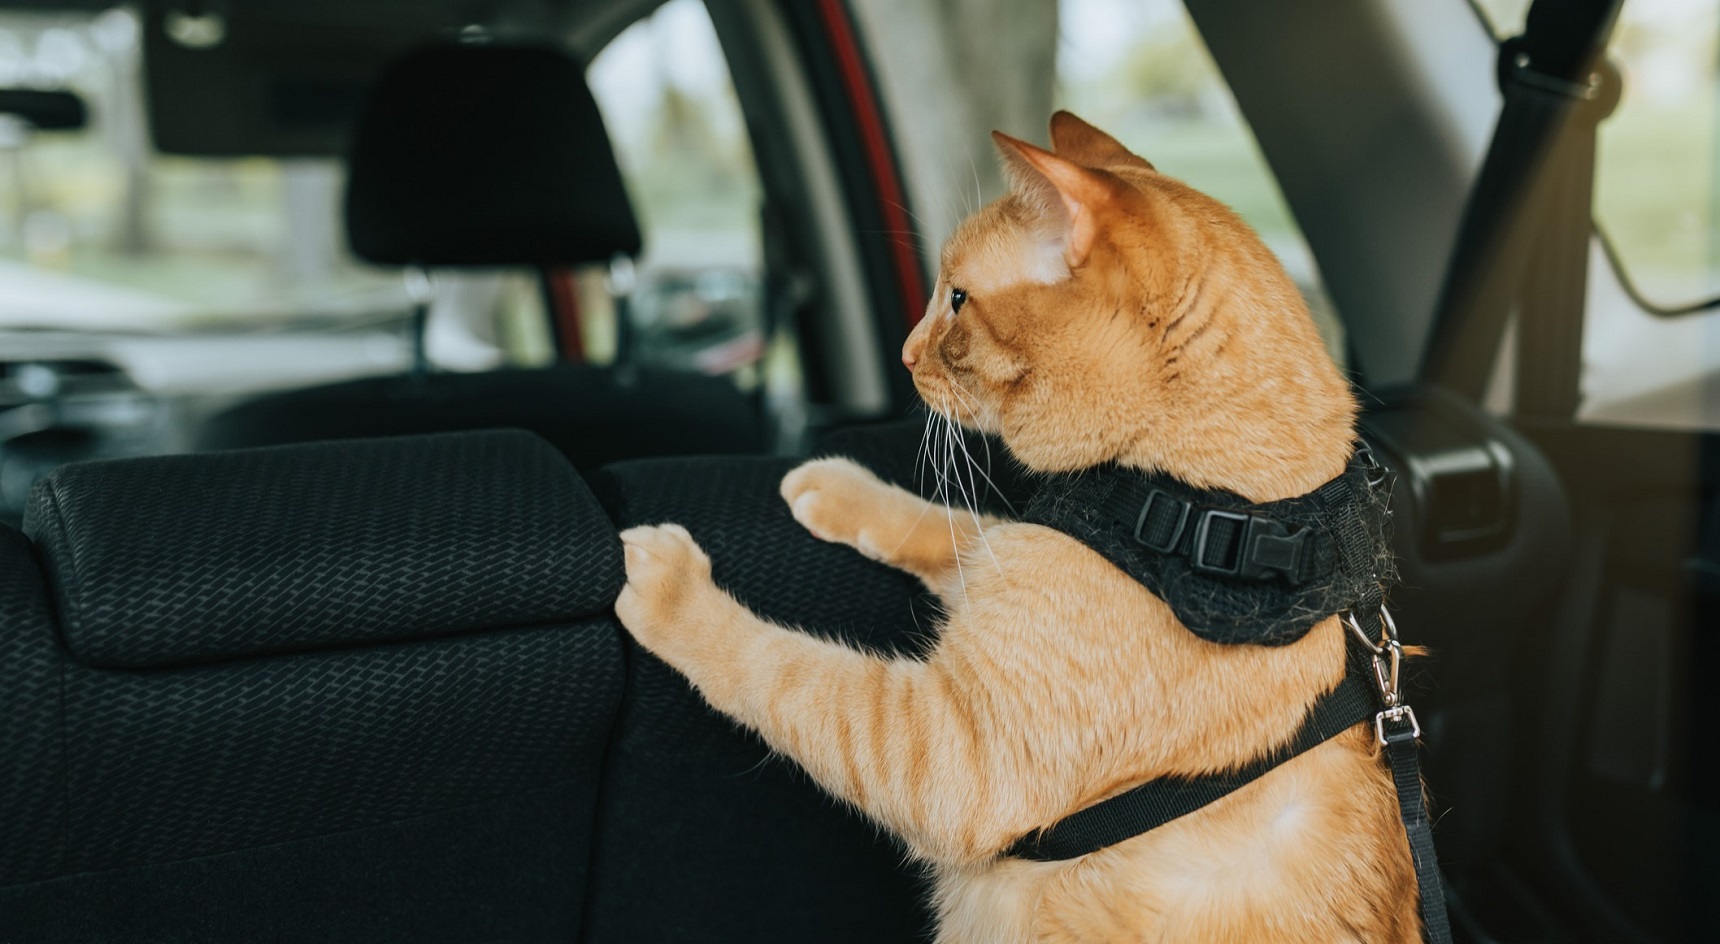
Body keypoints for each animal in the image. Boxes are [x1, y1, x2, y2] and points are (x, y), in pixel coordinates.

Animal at [612, 112, 1417, 942]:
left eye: (958, 300)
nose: (904, 354)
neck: (1204, 514)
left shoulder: (944, 754)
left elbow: (782, 668)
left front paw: (672, 589)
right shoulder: (1013, 551)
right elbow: (948, 524)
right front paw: (833, 485)